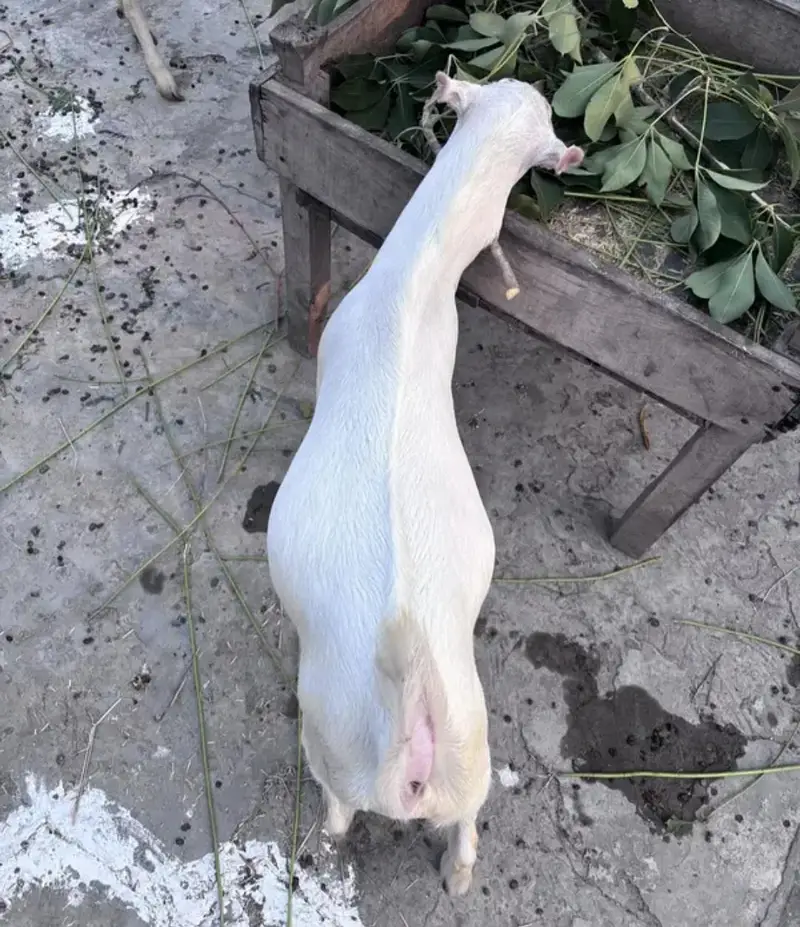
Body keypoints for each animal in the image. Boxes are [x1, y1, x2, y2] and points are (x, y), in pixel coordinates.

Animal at [266, 73, 583, 895]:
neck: (412, 283)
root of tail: (409, 726)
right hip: (471, 745)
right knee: (468, 828)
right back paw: (457, 877)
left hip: (332, 741)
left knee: (339, 812)